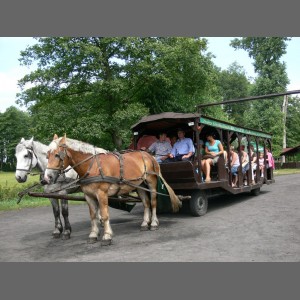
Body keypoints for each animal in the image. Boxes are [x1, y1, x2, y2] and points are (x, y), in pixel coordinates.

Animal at [43, 135, 182, 245]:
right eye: (47, 155)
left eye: (57, 155)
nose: (46, 178)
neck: (92, 165)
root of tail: (149, 155)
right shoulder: (89, 195)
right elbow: (93, 215)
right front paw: (93, 235)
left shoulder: (102, 194)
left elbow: (104, 215)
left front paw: (107, 236)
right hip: (139, 185)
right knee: (146, 203)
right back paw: (144, 224)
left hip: (151, 182)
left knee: (153, 202)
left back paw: (153, 223)